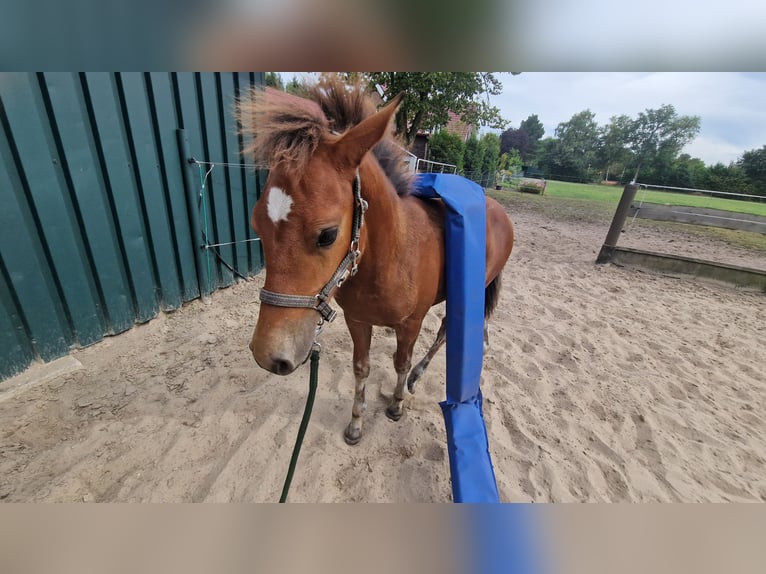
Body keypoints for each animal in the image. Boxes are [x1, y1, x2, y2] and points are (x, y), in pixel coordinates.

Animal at [240, 81, 514, 445]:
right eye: (257, 226)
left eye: (327, 234)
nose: (268, 355)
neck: (390, 257)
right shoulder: (357, 320)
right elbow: (361, 368)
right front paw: (356, 423)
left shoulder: (411, 323)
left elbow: (400, 362)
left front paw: (396, 405)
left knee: (445, 329)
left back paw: (417, 376)